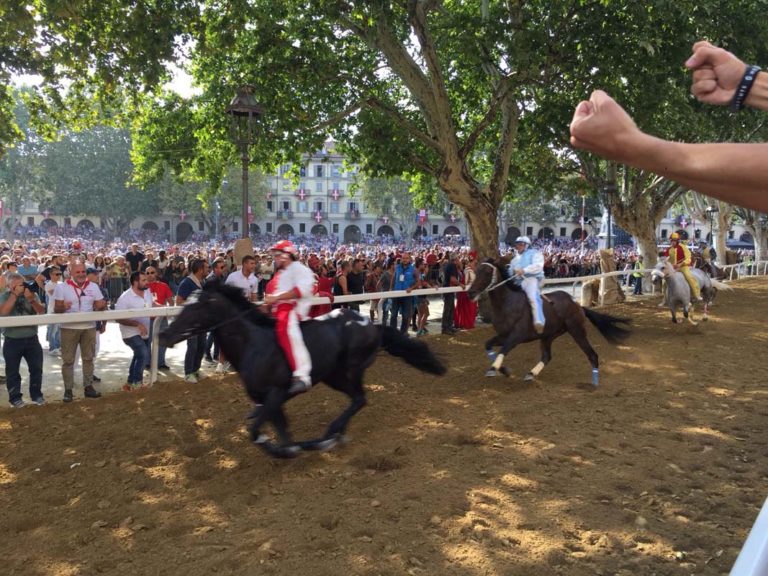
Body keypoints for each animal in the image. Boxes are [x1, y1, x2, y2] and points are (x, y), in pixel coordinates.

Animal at [159, 282, 448, 456]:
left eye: (194, 307)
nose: (163, 334)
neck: (253, 343)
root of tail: (372, 325)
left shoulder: (276, 393)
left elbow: (257, 433)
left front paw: (288, 449)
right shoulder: (269, 400)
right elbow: (278, 430)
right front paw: (287, 446)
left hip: (348, 371)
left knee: (360, 399)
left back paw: (329, 435)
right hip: (333, 375)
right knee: (357, 400)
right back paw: (334, 435)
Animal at [464, 260, 632, 388]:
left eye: (487, 272)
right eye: (475, 272)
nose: (471, 293)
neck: (508, 304)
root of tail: (577, 305)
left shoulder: (517, 336)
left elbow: (503, 350)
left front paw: (494, 369)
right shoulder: (503, 335)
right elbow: (488, 345)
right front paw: (503, 369)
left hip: (576, 330)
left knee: (592, 355)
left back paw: (594, 383)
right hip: (548, 335)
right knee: (547, 356)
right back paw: (531, 373)